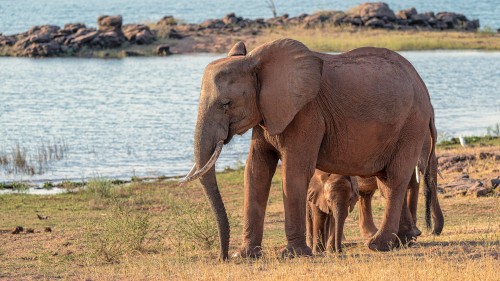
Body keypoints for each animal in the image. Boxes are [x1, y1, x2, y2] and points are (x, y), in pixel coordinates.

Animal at [183, 38, 438, 260]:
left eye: (226, 104)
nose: (224, 257)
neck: (256, 61)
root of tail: (424, 89)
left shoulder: (306, 113)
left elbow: (294, 171)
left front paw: (292, 255)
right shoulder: (267, 112)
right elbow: (256, 171)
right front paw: (247, 255)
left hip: (411, 124)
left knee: (395, 179)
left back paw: (379, 245)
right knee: (386, 179)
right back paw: (403, 241)